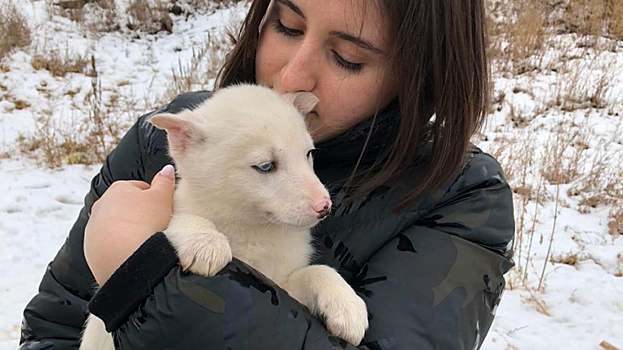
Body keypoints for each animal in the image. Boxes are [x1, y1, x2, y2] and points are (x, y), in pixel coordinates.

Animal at [80, 85, 368, 350]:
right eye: (266, 166)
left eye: (308, 154)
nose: (324, 206)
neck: (253, 229)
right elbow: (183, 216)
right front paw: (206, 243)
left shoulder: (282, 285)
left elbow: (318, 271)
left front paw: (348, 307)